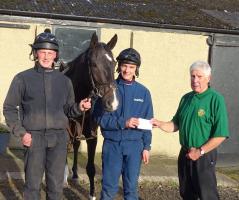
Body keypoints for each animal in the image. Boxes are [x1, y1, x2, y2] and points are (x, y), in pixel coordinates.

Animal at [60, 32, 118, 198]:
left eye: (114, 64)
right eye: (93, 64)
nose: (112, 102)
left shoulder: (92, 136)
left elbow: (91, 168)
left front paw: (92, 194)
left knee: (76, 145)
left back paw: (74, 175)